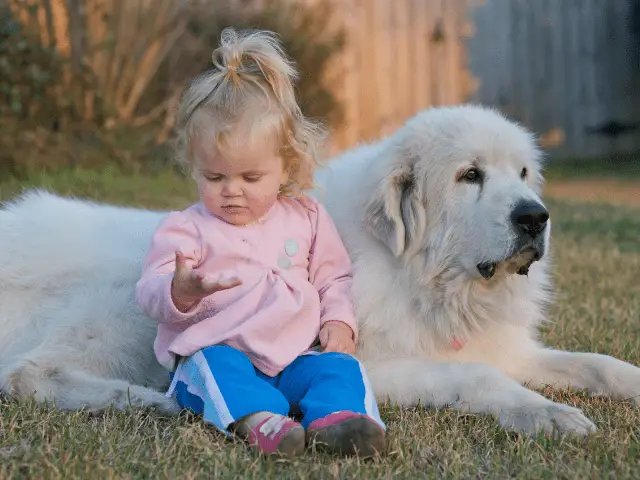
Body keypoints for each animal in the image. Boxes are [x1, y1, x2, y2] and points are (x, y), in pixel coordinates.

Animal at [1, 106, 640, 438]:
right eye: (470, 176)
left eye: (524, 173)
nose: (535, 217)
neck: (427, 279)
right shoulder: (377, 363)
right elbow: (478, 379)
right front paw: (548, 414)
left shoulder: (505, 348)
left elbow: (598, 363)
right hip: (130, 301)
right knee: (28, 374)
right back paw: (141, 400)